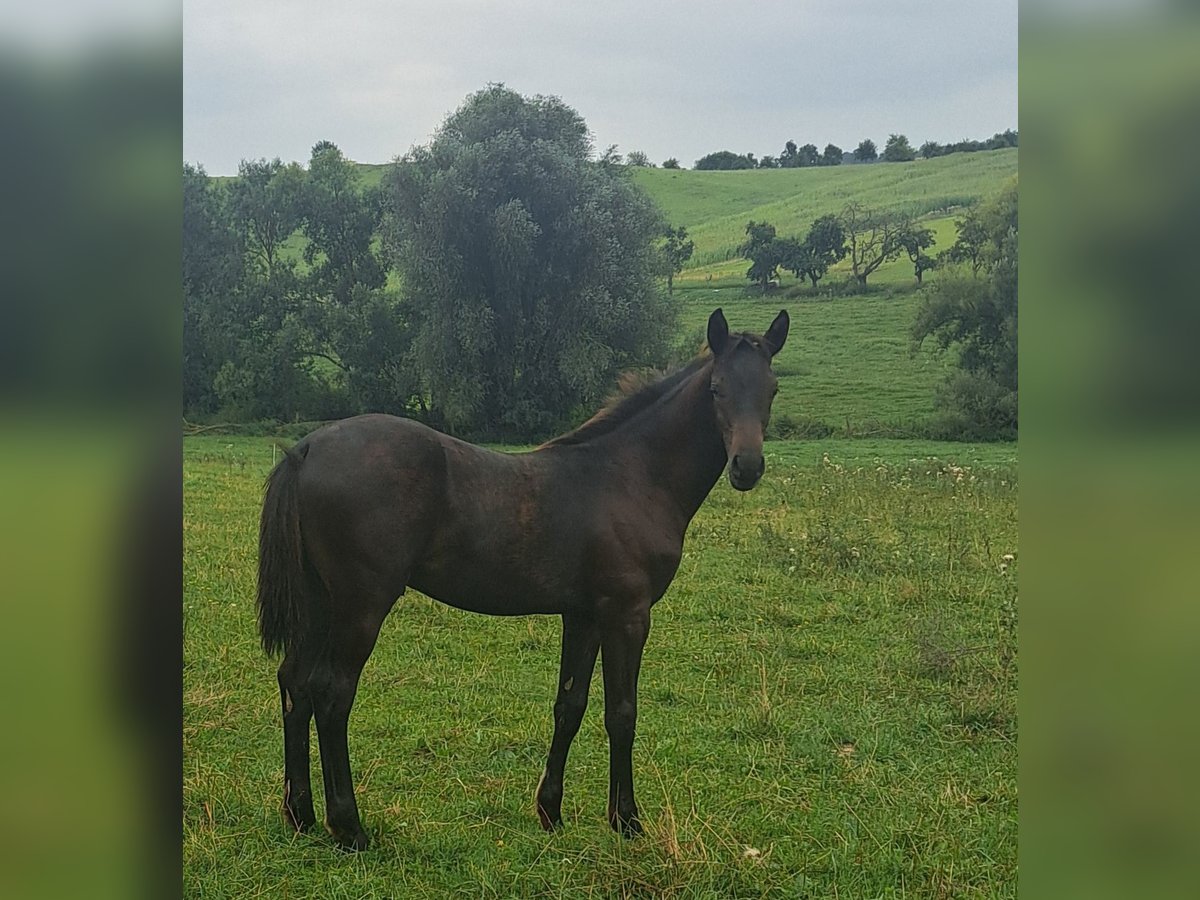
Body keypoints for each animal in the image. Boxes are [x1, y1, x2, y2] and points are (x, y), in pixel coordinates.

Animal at [257, 307, 789, 850]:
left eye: (771, 389)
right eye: (717, 388)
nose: (747, 466)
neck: (632, 477)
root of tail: (306, 448)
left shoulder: (583, 615)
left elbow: (569, 705)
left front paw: (550, 811)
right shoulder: (627, 614)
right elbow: (622, 713)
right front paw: (627, 820)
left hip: (319, 603)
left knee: (295, 683)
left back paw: (299, 814)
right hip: (361, 604)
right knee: (332, 693)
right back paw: (348, 826)